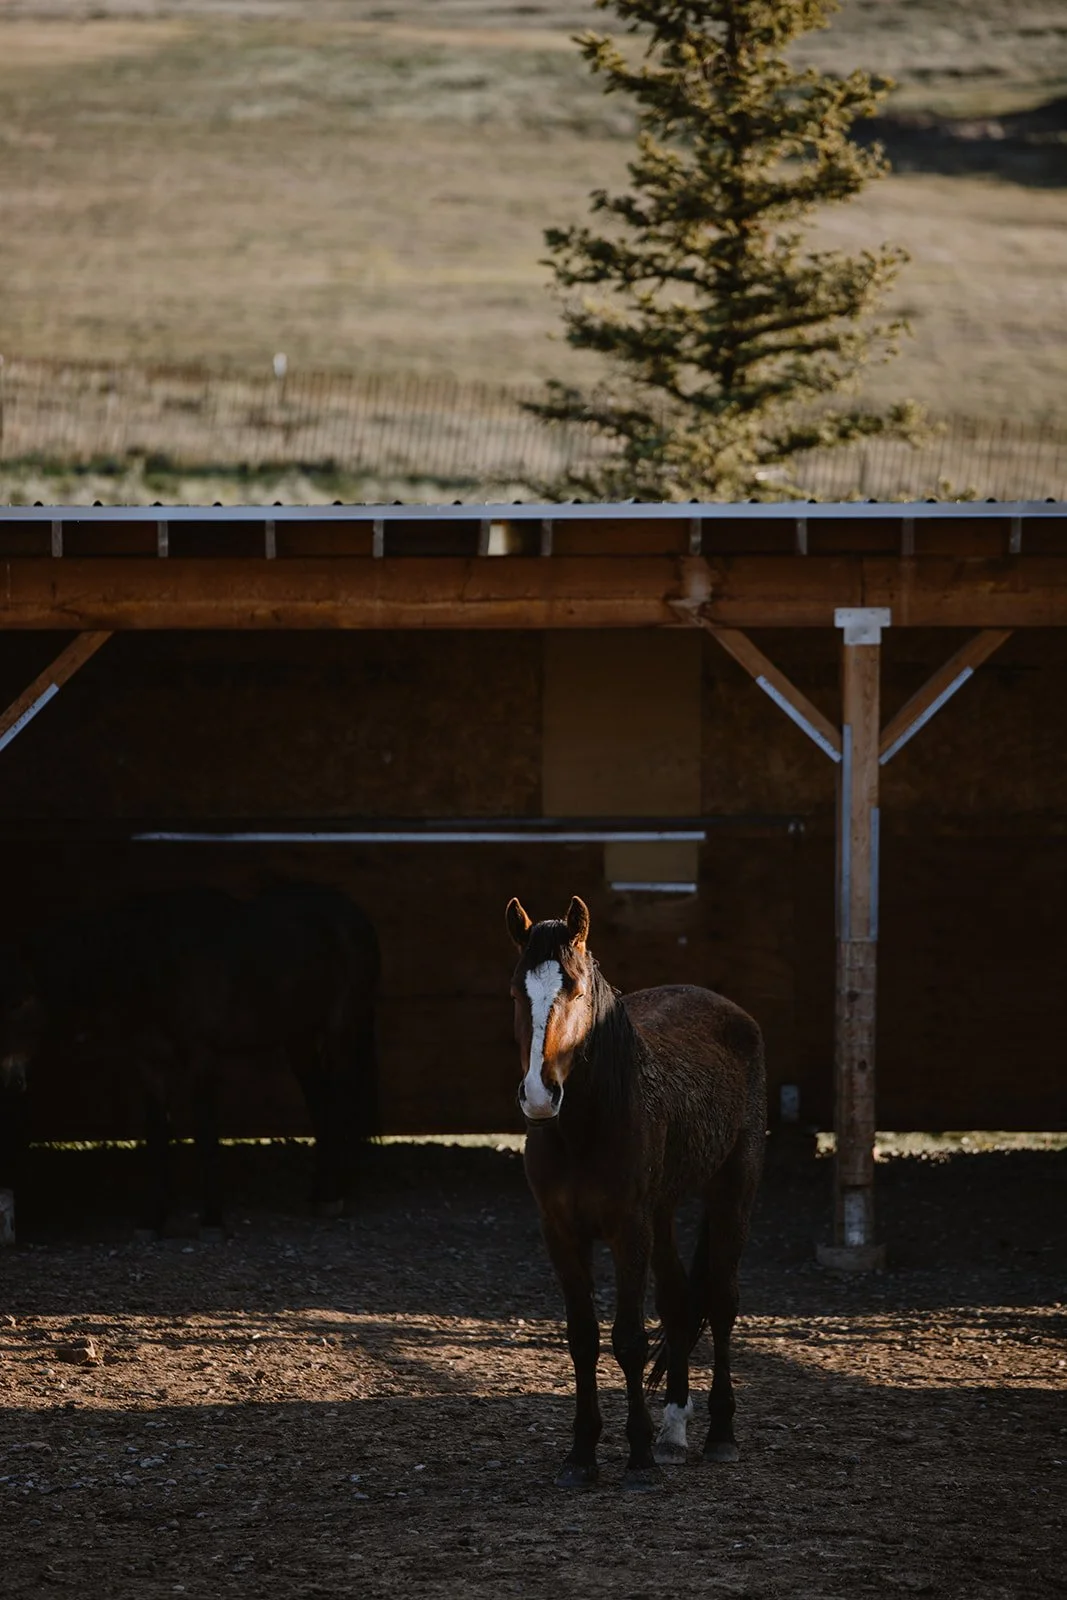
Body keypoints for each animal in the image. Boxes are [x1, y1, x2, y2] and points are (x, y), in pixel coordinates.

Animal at [0, 882, 380, 1235]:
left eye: (19, 1002)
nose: (8, 1079)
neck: (150, 964)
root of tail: (354, 914)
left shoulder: (201, 1058)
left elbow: (205, 1133)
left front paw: (212, 1219)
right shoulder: (149, 1064)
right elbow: (156, 1137)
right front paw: (154, 1219)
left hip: (339, 1033)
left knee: (341, 1103)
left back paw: (333, 1196)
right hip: (298, 1039)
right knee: (320, 1103)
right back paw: (320, 1193)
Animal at [505, 894, 766, 1490]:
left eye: (576, 990)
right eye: (515, 991)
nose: (539, 1095)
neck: (585, 1129)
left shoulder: (629, 1230)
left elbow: (627, 1338)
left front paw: (639, 1457)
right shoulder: (562, 1233)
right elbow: (583, 1337)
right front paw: (582, 1454)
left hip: (733, 1187)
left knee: (721, 1302)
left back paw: (719, 1434)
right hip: (663, 1212)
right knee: (677, 1302)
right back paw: (674, 1432)